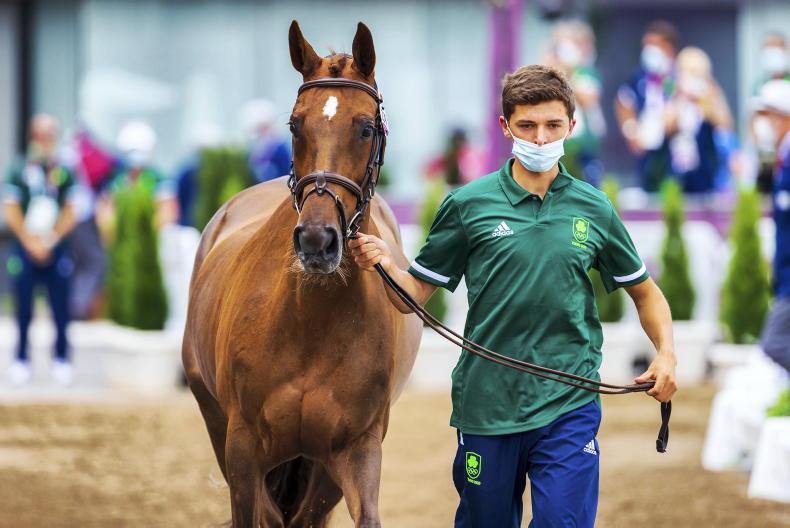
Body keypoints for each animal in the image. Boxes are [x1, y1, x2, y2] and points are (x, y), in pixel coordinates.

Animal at [182, 20, 422, 528]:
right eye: (295, 124)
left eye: (365, 128)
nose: (316, 240)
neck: (309, 322)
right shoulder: (242, 450)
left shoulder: (353, 452)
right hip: (214, 418)